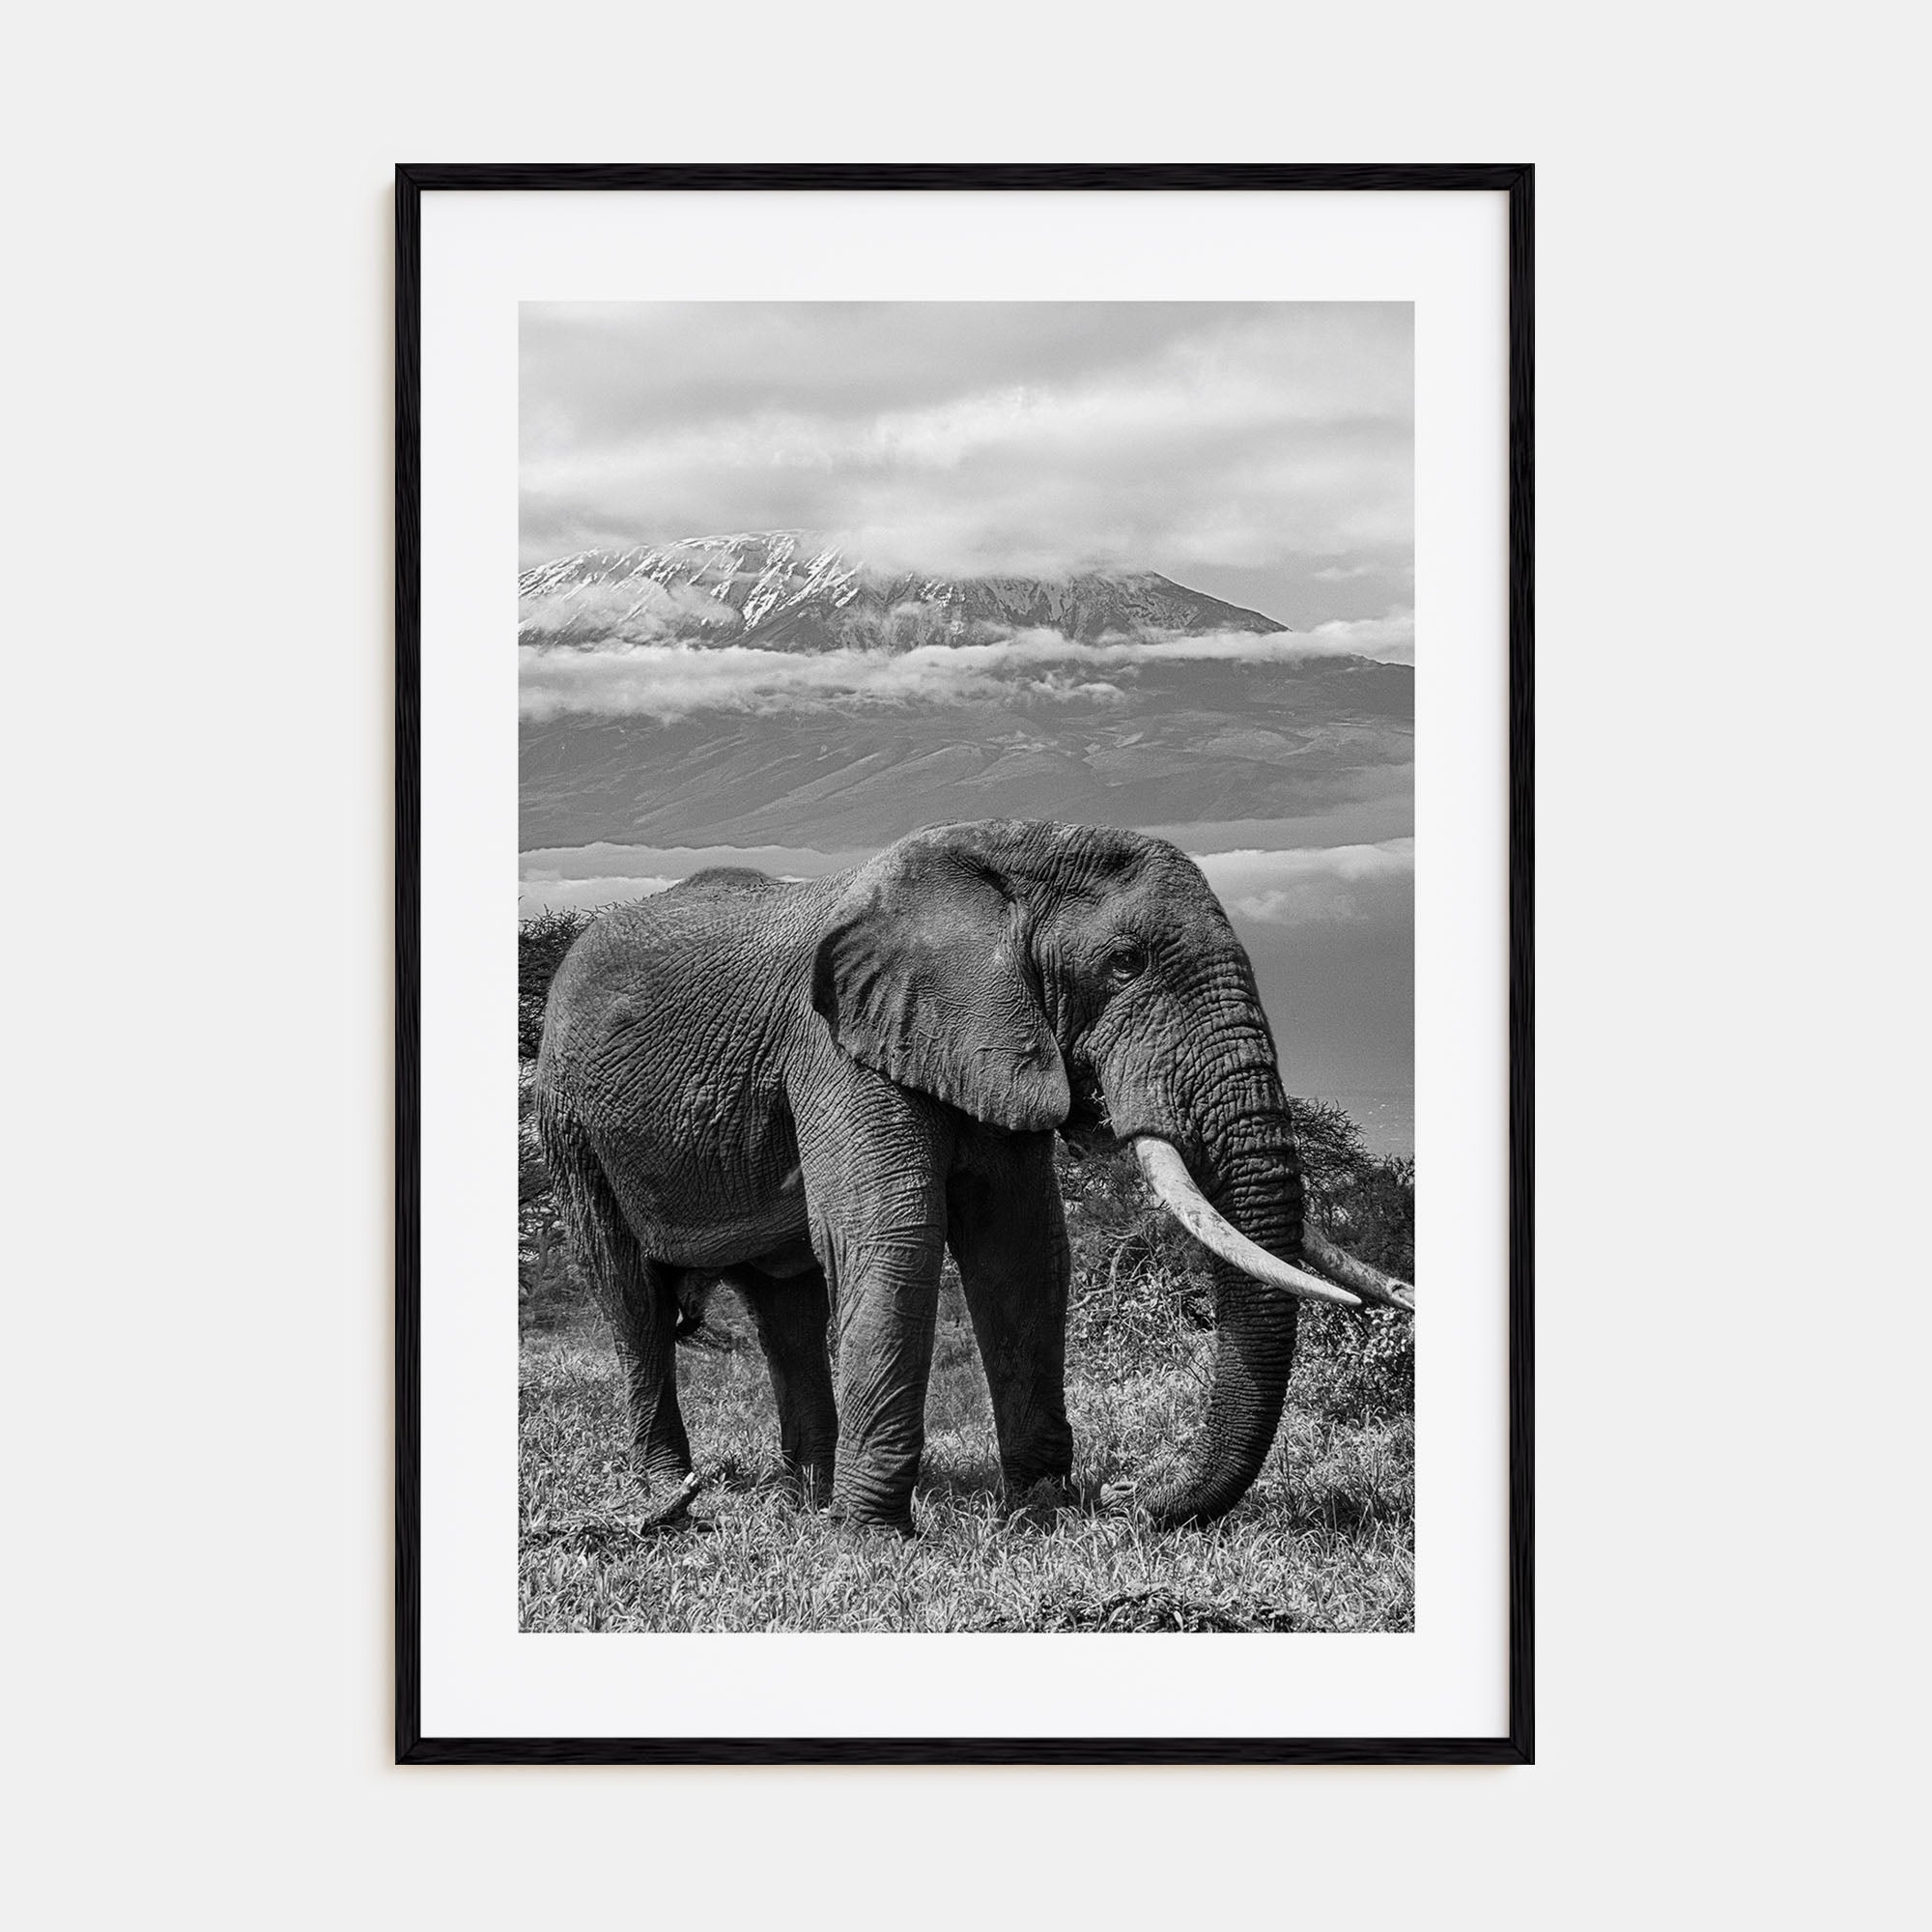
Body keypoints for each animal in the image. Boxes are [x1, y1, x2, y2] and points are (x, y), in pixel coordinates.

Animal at [535, 818, 1413, 1533]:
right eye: (1125, 964)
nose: (1129, 1499)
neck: (1007, 856)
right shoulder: (836, 1049)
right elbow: (893, 1234)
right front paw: (873, 1542)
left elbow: (1020, 1248)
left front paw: (1040, 1516)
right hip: (570, 1121)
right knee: (629, 1296)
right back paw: (674, 1495)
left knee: (787, 1306)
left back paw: (805, 1501)